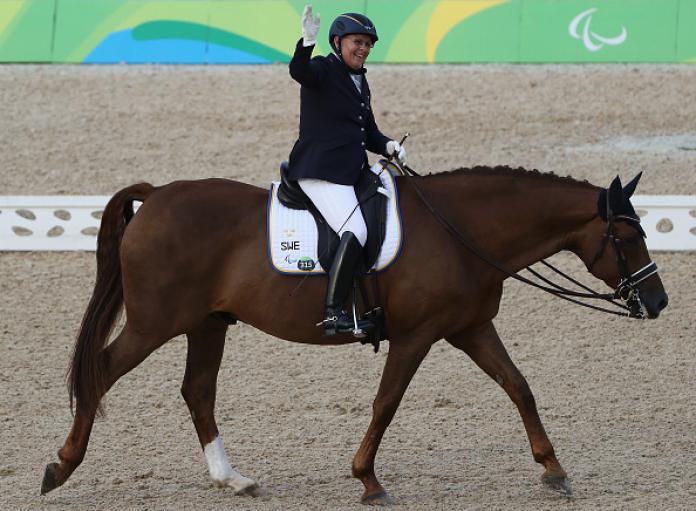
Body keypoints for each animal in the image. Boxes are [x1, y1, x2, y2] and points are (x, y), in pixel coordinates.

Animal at [42, 167, 668, 504]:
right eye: (627, 237)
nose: (658, 302)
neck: (462, 231)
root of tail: (156, 195)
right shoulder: (417, 336)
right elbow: (386, 402)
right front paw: (368, 481)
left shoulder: (470, 327)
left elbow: (519, 387)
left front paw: (554, 471)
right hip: (156, 323)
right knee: (102, 371)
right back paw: (61, 467)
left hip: (206, 324)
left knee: (197, 391)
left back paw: (233, 480)